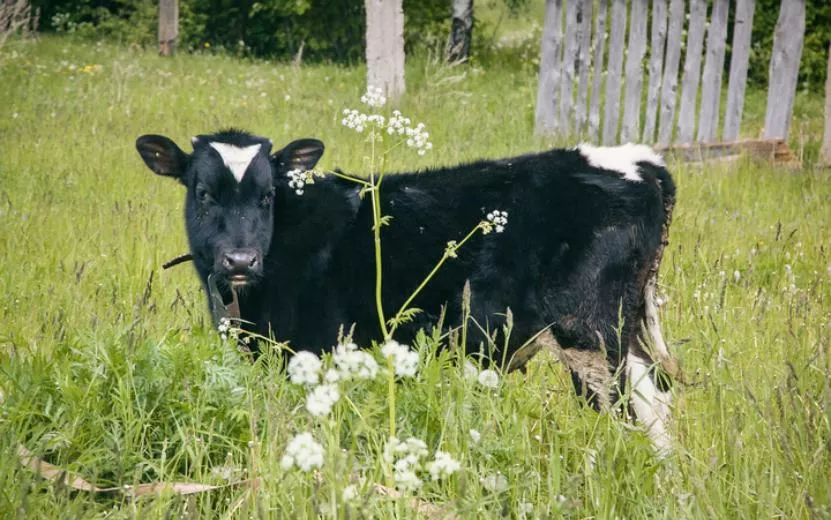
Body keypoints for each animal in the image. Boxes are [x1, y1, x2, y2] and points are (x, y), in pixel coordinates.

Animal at [136, 130, 680, 450]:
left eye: (268, 195)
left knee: (633, 408)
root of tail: (636, 161)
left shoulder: (315, 347)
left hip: (589, 334)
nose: (240, 260)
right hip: (619, 333)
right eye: (202, 193)